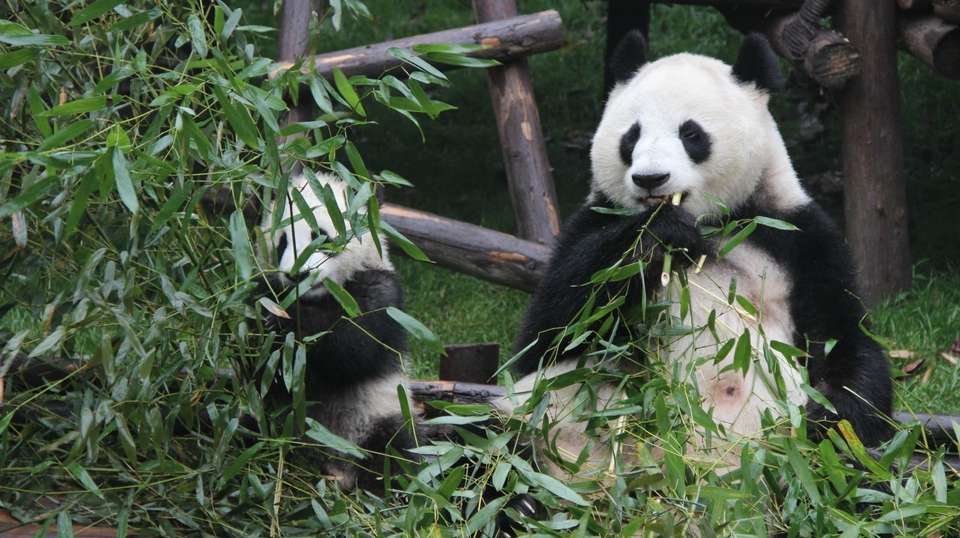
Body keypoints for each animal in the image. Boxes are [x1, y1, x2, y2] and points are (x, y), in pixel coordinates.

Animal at [259, 172, 416, 493]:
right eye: (282, 241)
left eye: (321, 236)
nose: (296, 274)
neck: (316, 297)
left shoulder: (380, 294)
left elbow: (351, 348)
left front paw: (286, 322)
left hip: (379, 415)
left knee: (391, 457)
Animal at [499, 32, 893, 483]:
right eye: (631, 136)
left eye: (691, 134)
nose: (650, 179)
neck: (709, 224)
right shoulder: (590, 224)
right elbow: (548, 338)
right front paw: (656, 235)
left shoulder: (798, 239)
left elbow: (847, 347)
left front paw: (825, 423)